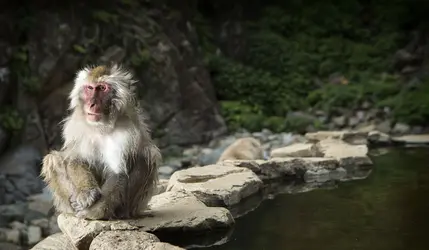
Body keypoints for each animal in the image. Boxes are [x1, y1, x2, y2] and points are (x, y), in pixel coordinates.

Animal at [40, 65, 160, 221]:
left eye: (102, 88)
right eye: (90, 88)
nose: (92, 104)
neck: (100, 126)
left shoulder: (126, 133)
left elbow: (118, 173)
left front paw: (93, 212)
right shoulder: (75, 127)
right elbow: (74, 159)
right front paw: (86, 193)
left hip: (134, 205)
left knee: (146, 155)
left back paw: (117, 213)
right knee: (53, 159)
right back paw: (73, 204)